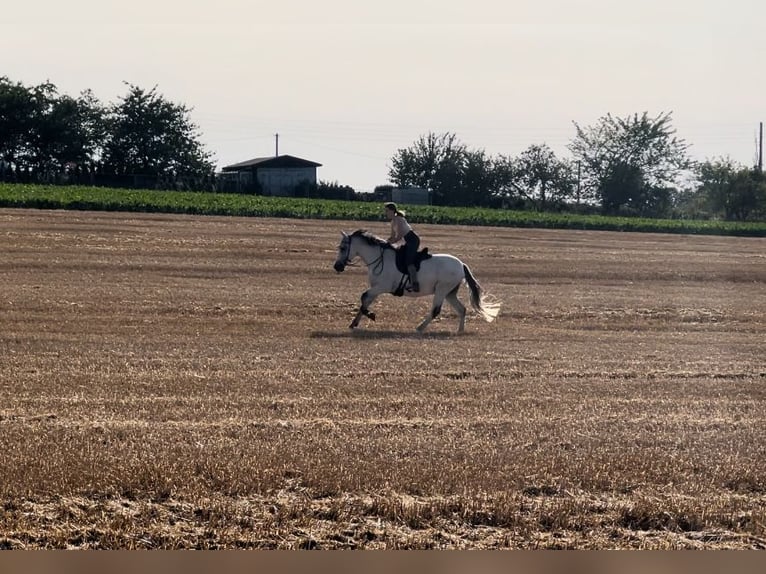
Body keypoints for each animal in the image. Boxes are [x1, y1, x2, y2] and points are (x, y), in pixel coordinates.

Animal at [332, 231, 500, 332]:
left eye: (342, 248)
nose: (337, 266)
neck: (379, 259)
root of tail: (461, 264)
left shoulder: (381, 287)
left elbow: (364, 297)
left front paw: (371, 315)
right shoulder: (375, 288)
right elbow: (365, 301)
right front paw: (354, 322)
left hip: (442, 290)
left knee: (435, 310)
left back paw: (419, 327)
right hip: (450, 293)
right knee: (462, 309)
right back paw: (459, 330)